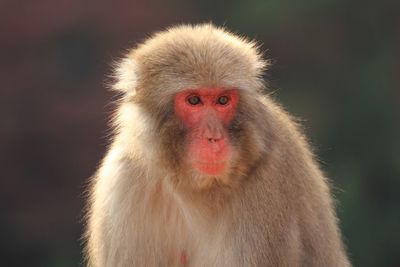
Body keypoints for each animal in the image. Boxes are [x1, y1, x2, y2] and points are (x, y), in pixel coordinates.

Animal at [83, 24, 350, 266]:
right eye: (194, 100)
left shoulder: (271, 175)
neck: (199, 187)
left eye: (223, 100)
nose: (213, 137)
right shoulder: (122, 182)